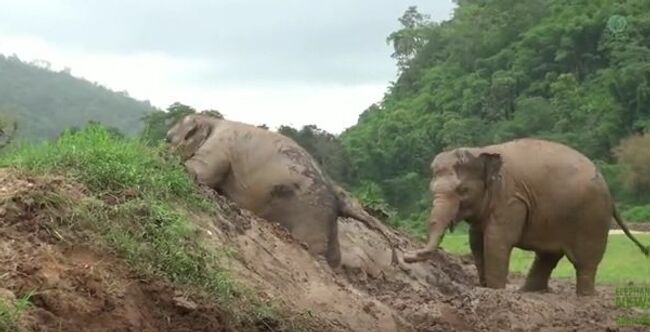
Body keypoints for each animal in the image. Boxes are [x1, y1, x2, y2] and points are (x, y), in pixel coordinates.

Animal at [165, 113, 402, 268]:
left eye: (168, 138)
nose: (164, 142)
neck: (212, 121)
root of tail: (338, 199)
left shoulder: (219, 146)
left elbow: (201, 172)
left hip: (310, 213)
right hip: (327, 220)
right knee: (334, 256)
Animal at [402, 137, 644, 296]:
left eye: (462, 190)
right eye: (431, 189)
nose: (406, 257)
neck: (482, 150)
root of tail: (608, 189)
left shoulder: (511, 199)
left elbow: (497, 240)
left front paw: (495, 290)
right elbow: (476, 242)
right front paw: (484, 287)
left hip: (591, 216)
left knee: (584, 261)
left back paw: (585, 296)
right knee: (548, 255)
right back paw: (528, 291)